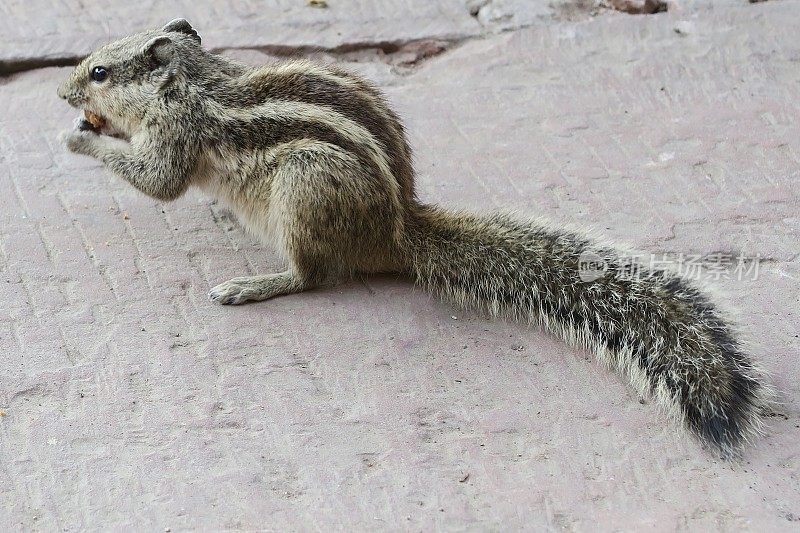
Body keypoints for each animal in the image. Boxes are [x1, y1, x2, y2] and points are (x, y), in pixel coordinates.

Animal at [56, 18, 768, 456]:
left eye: (98, 72)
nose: (63, 90)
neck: (194, 83)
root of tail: (396, 231)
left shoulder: (177, 136)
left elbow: (157, 182)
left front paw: (81, 137)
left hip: (306, 188)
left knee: (317, 275)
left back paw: (255, 284)